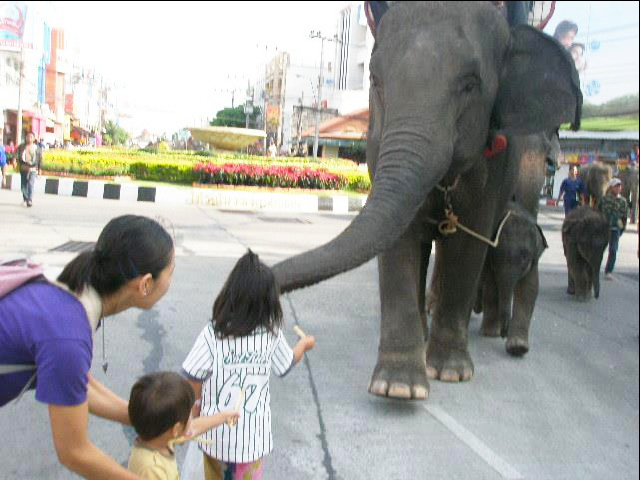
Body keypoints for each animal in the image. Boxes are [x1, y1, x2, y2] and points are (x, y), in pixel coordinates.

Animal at [478, 202, 548, 356]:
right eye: (496, 255)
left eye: (524, 257)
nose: (504, 334)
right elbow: (492, 288)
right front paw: (491, 334)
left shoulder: (534, 261)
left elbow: (529, 290)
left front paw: (518, 348)